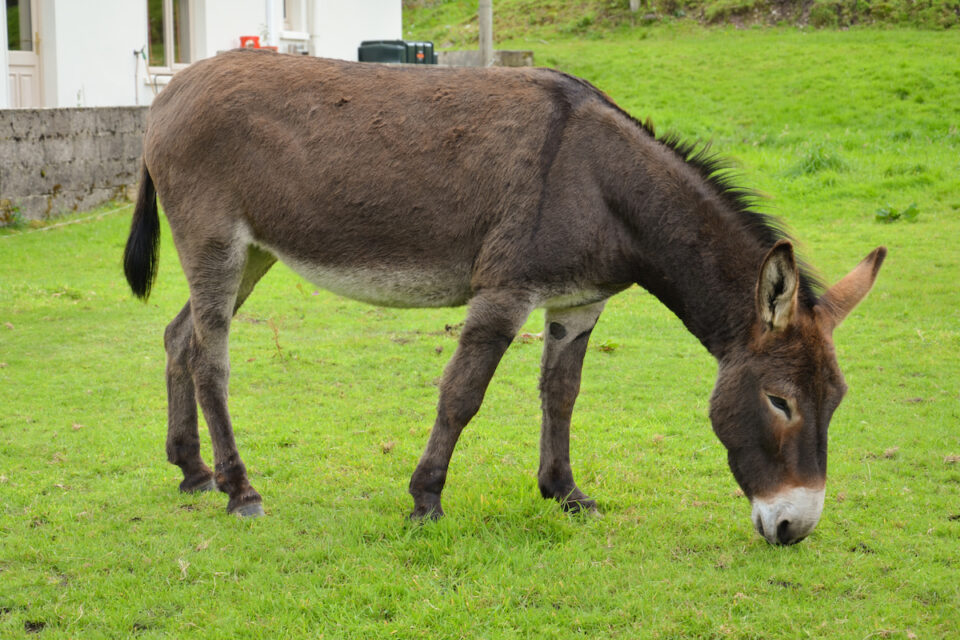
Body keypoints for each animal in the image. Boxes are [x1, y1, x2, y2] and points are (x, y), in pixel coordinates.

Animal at [123, 49, 885, 545]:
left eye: (837, 404)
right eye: (780, 402)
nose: (794, 529)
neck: (605, 185)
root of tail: (170, 89)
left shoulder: (578, 304)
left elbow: (562, 394)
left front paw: (565, 492)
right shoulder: (504, 292)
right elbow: (463, 394)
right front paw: (425, 501)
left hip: (253, 253)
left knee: (178, 338)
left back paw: (192, 471)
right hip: (215, 241)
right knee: (211, 359)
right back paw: (240, 490)